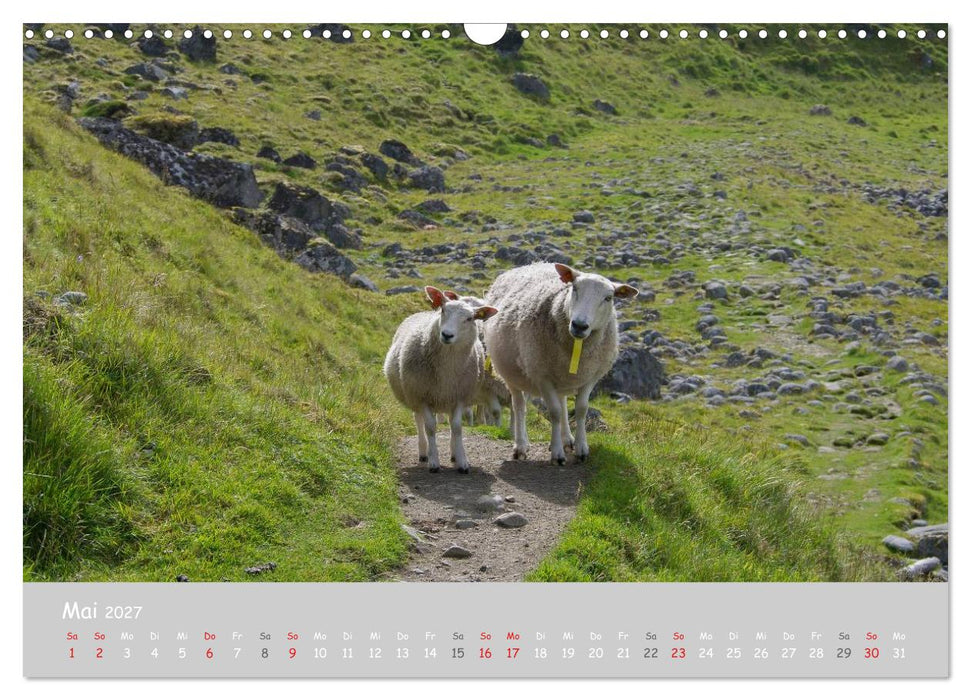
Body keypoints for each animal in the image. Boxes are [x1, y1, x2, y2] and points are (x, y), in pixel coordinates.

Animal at [383, 286, 498, 473]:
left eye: (470, 318)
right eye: (443, 310)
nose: (447, 334)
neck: (446, 371)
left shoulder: (459, 397)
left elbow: (457, 427)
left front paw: (462, 461)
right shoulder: (422, 396)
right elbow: (430, 427)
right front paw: (433, 461)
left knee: (450, 423)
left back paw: (453, 454)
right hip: (413, 393)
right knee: (419, 420)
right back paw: (423, 452)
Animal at [483, 262, 637, 464]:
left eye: (608, 298)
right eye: (575, 288)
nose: (579, 325)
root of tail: (530, 265)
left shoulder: (590, 377)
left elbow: (581, 410)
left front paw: (581, 448)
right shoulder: (542, 376)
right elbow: (554, 412)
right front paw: (557, 453)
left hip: (560, 376)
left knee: (562, 403)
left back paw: (567, 439)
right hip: (512, 373)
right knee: (519, 406)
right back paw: (521, 446)